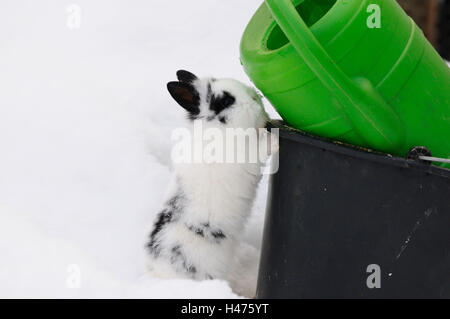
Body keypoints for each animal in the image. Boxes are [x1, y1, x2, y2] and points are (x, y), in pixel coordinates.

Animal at [146, 71, 276, 298]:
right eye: (225, 101)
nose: (256, 97)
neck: (219, 130)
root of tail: (158, 276)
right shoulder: (249, 155)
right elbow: (262, 147)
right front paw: (275, 139)